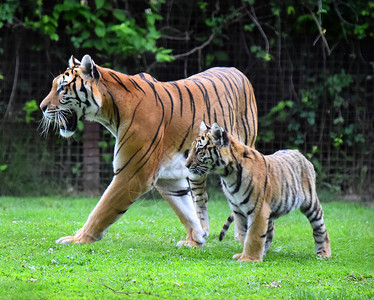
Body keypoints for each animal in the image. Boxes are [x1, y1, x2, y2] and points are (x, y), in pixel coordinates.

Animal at [40, 54, 258, 246]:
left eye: (62, 88)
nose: (42, 107)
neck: (111, 111)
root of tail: (237, 70)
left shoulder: (132, 174)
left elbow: (101, 210)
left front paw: (78, 239)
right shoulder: (168, 178)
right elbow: (185, 210)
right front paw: (195, 240)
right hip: (196, 168)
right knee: (201, 196)